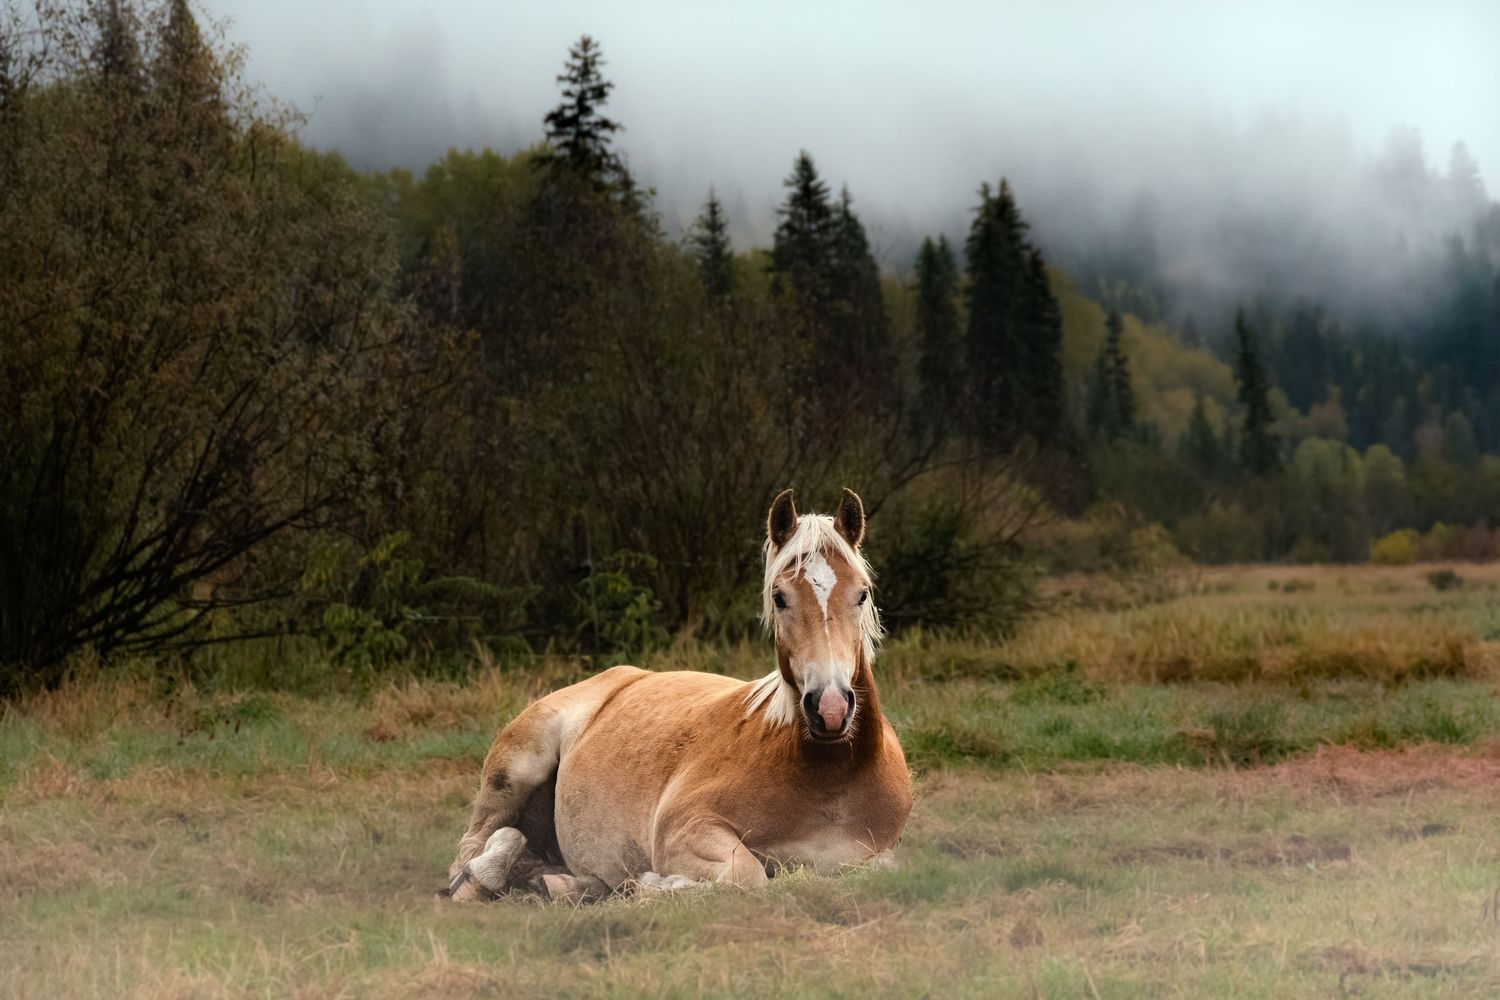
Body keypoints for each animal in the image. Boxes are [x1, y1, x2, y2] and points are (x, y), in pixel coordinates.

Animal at [443, 488, 913, 901]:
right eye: (780, 597)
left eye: (862, 594)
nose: (830, 708)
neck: (831, 781)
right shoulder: (685, 828)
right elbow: (748, 875)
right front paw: (657, 885)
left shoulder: (880, 853)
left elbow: (886, 867)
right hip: (516, 771)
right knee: (473, 851)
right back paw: (487, 877)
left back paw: (562, 885)